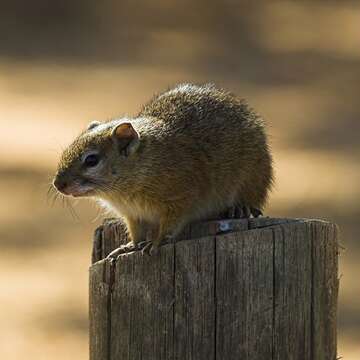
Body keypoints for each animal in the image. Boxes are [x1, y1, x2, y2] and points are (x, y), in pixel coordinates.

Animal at [52, 83, 272, 255]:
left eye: (91, 160)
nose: (58, 184)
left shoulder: (181, 199)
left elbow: (170, 226)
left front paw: (156, 243)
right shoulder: (133, 215)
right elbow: (136, 232)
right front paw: (130, 246)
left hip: (253, 176)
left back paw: (240, 207)